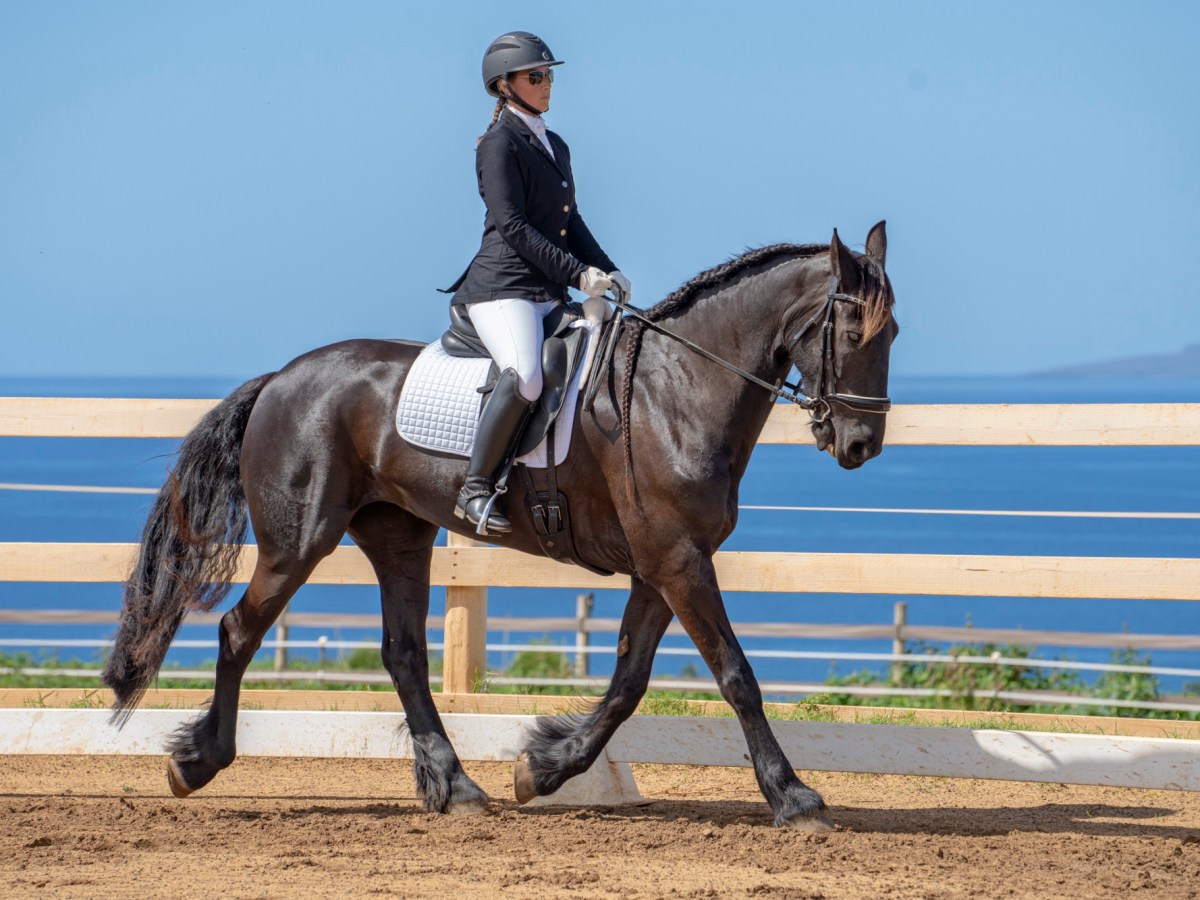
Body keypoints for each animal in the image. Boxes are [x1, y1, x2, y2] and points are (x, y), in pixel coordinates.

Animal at [102, 221, 897, 831]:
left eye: (893, 331)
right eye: (852, 328)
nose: (862, 445)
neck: (676, 391)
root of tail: (281, 378)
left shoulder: (661, 565)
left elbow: (629, 680)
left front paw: (541, 768)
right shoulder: (679, 560)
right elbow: (736, 675)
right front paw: (795, 797)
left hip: (398, 536)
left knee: (403, 655)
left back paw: (456, 787)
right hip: (299, 541)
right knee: (240, 631)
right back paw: (196, 763)